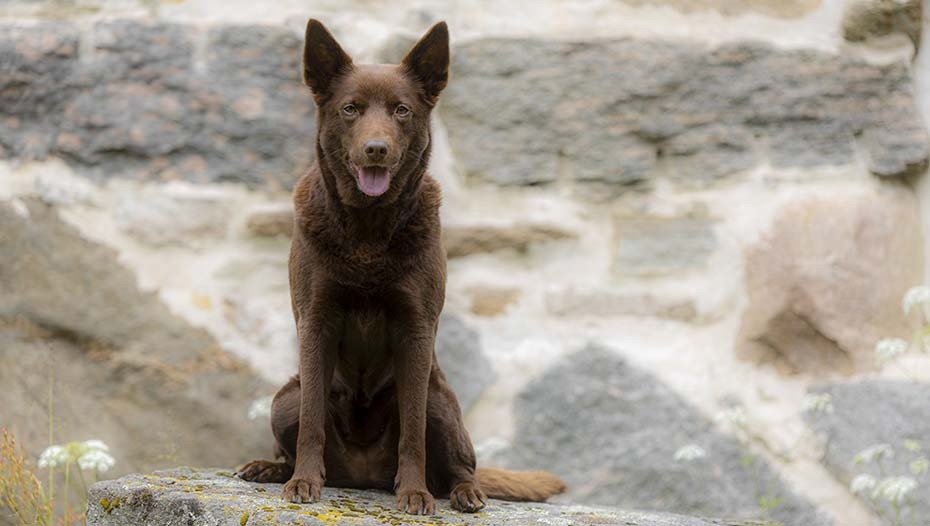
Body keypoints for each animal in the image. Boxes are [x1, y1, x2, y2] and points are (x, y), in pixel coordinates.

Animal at [236, 19, 560, 516]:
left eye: (402, 110)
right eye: (350, 109)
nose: (376, 149)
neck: (368, 232)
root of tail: (363, 476)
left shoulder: (416, 328)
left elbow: (412, 433)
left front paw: (413, 493)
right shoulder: (316, 320)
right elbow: (312, 420)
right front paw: (303, 482)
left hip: (438, 400)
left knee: (459, 466)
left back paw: (465, 492)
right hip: (283, 399)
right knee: (297, 425)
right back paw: (271, 468)